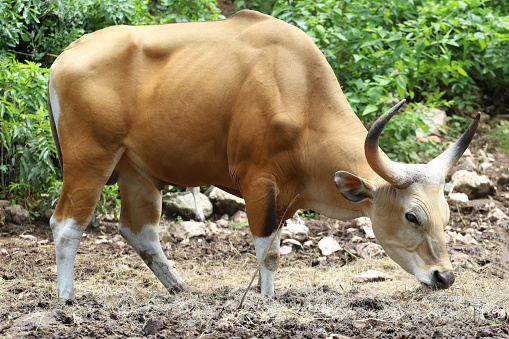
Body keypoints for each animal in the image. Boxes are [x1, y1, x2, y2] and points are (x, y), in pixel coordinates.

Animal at [46, 9, 476, 300]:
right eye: (411, 216)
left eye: (446, 215)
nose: (444, 277)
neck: (298, 93)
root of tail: (65, 55)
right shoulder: (258, 183)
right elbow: (268, 253)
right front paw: (266, 300)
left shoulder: (286, 195)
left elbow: (275, 250)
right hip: (89, 160)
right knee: (66, 224)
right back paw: (67, 299)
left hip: (138, 171)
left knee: (139, 232)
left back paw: (182, 289)